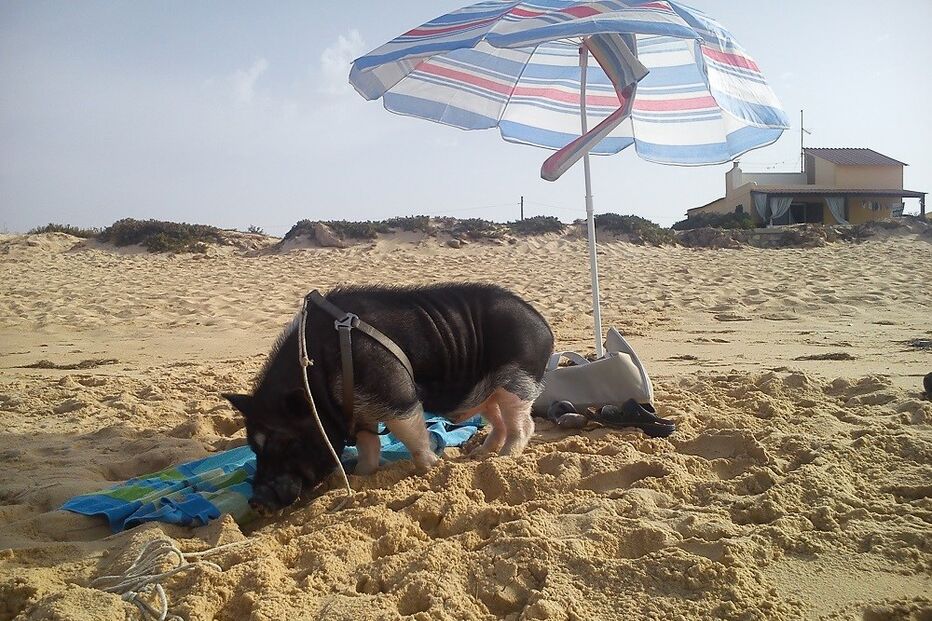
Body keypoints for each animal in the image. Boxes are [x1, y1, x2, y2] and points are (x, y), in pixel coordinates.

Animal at [223, 283, 554, 511]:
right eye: (253, 446)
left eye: (286, 442)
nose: (255, 501)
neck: (318, 378)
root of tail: (545, 326)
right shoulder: (360, 413)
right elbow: (369, 446)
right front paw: (361, 474)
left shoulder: (396, 394)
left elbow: (411, 435)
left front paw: (432, 466)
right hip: (489, 393)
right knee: (498, 422)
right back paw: (480, 456)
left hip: (517, 382)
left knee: (523, 425)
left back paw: (506, 456)